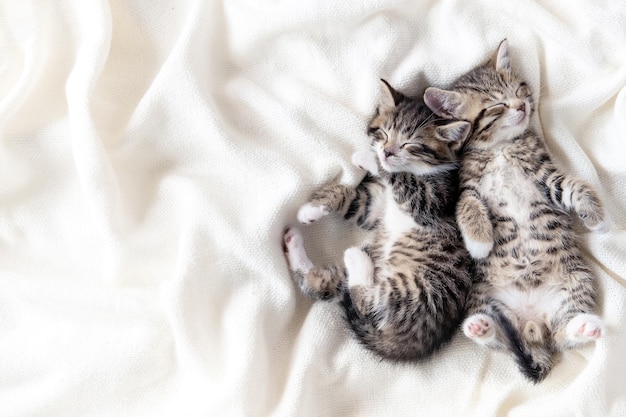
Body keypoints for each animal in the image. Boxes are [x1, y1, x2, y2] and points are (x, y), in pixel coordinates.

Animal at [282, 79, 468, 360]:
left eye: (411, 144)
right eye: (384, 133)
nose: (387, 152)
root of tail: (405, 347)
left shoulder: (434, 198)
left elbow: (403, 179)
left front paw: (369, 158)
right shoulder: (375, 207)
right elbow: (351, 198)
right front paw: (311, 209)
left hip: (417, 292)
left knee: (368, 301)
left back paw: (356, 259)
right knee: (324, 284)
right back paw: (294, 242)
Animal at [422, 40, 608, 382]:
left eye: (520, 89)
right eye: (496, 106)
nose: (521, 106)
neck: (501, 148)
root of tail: (533, 324)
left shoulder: (544, 175)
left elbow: (572, 188)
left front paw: (599, 219)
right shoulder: (466, 185)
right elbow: (467, 205)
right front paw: (480, 243)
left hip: (576, 282)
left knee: (560, 336)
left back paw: (585, 326)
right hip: (482, 295)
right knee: (502, 340)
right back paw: (480, 327)